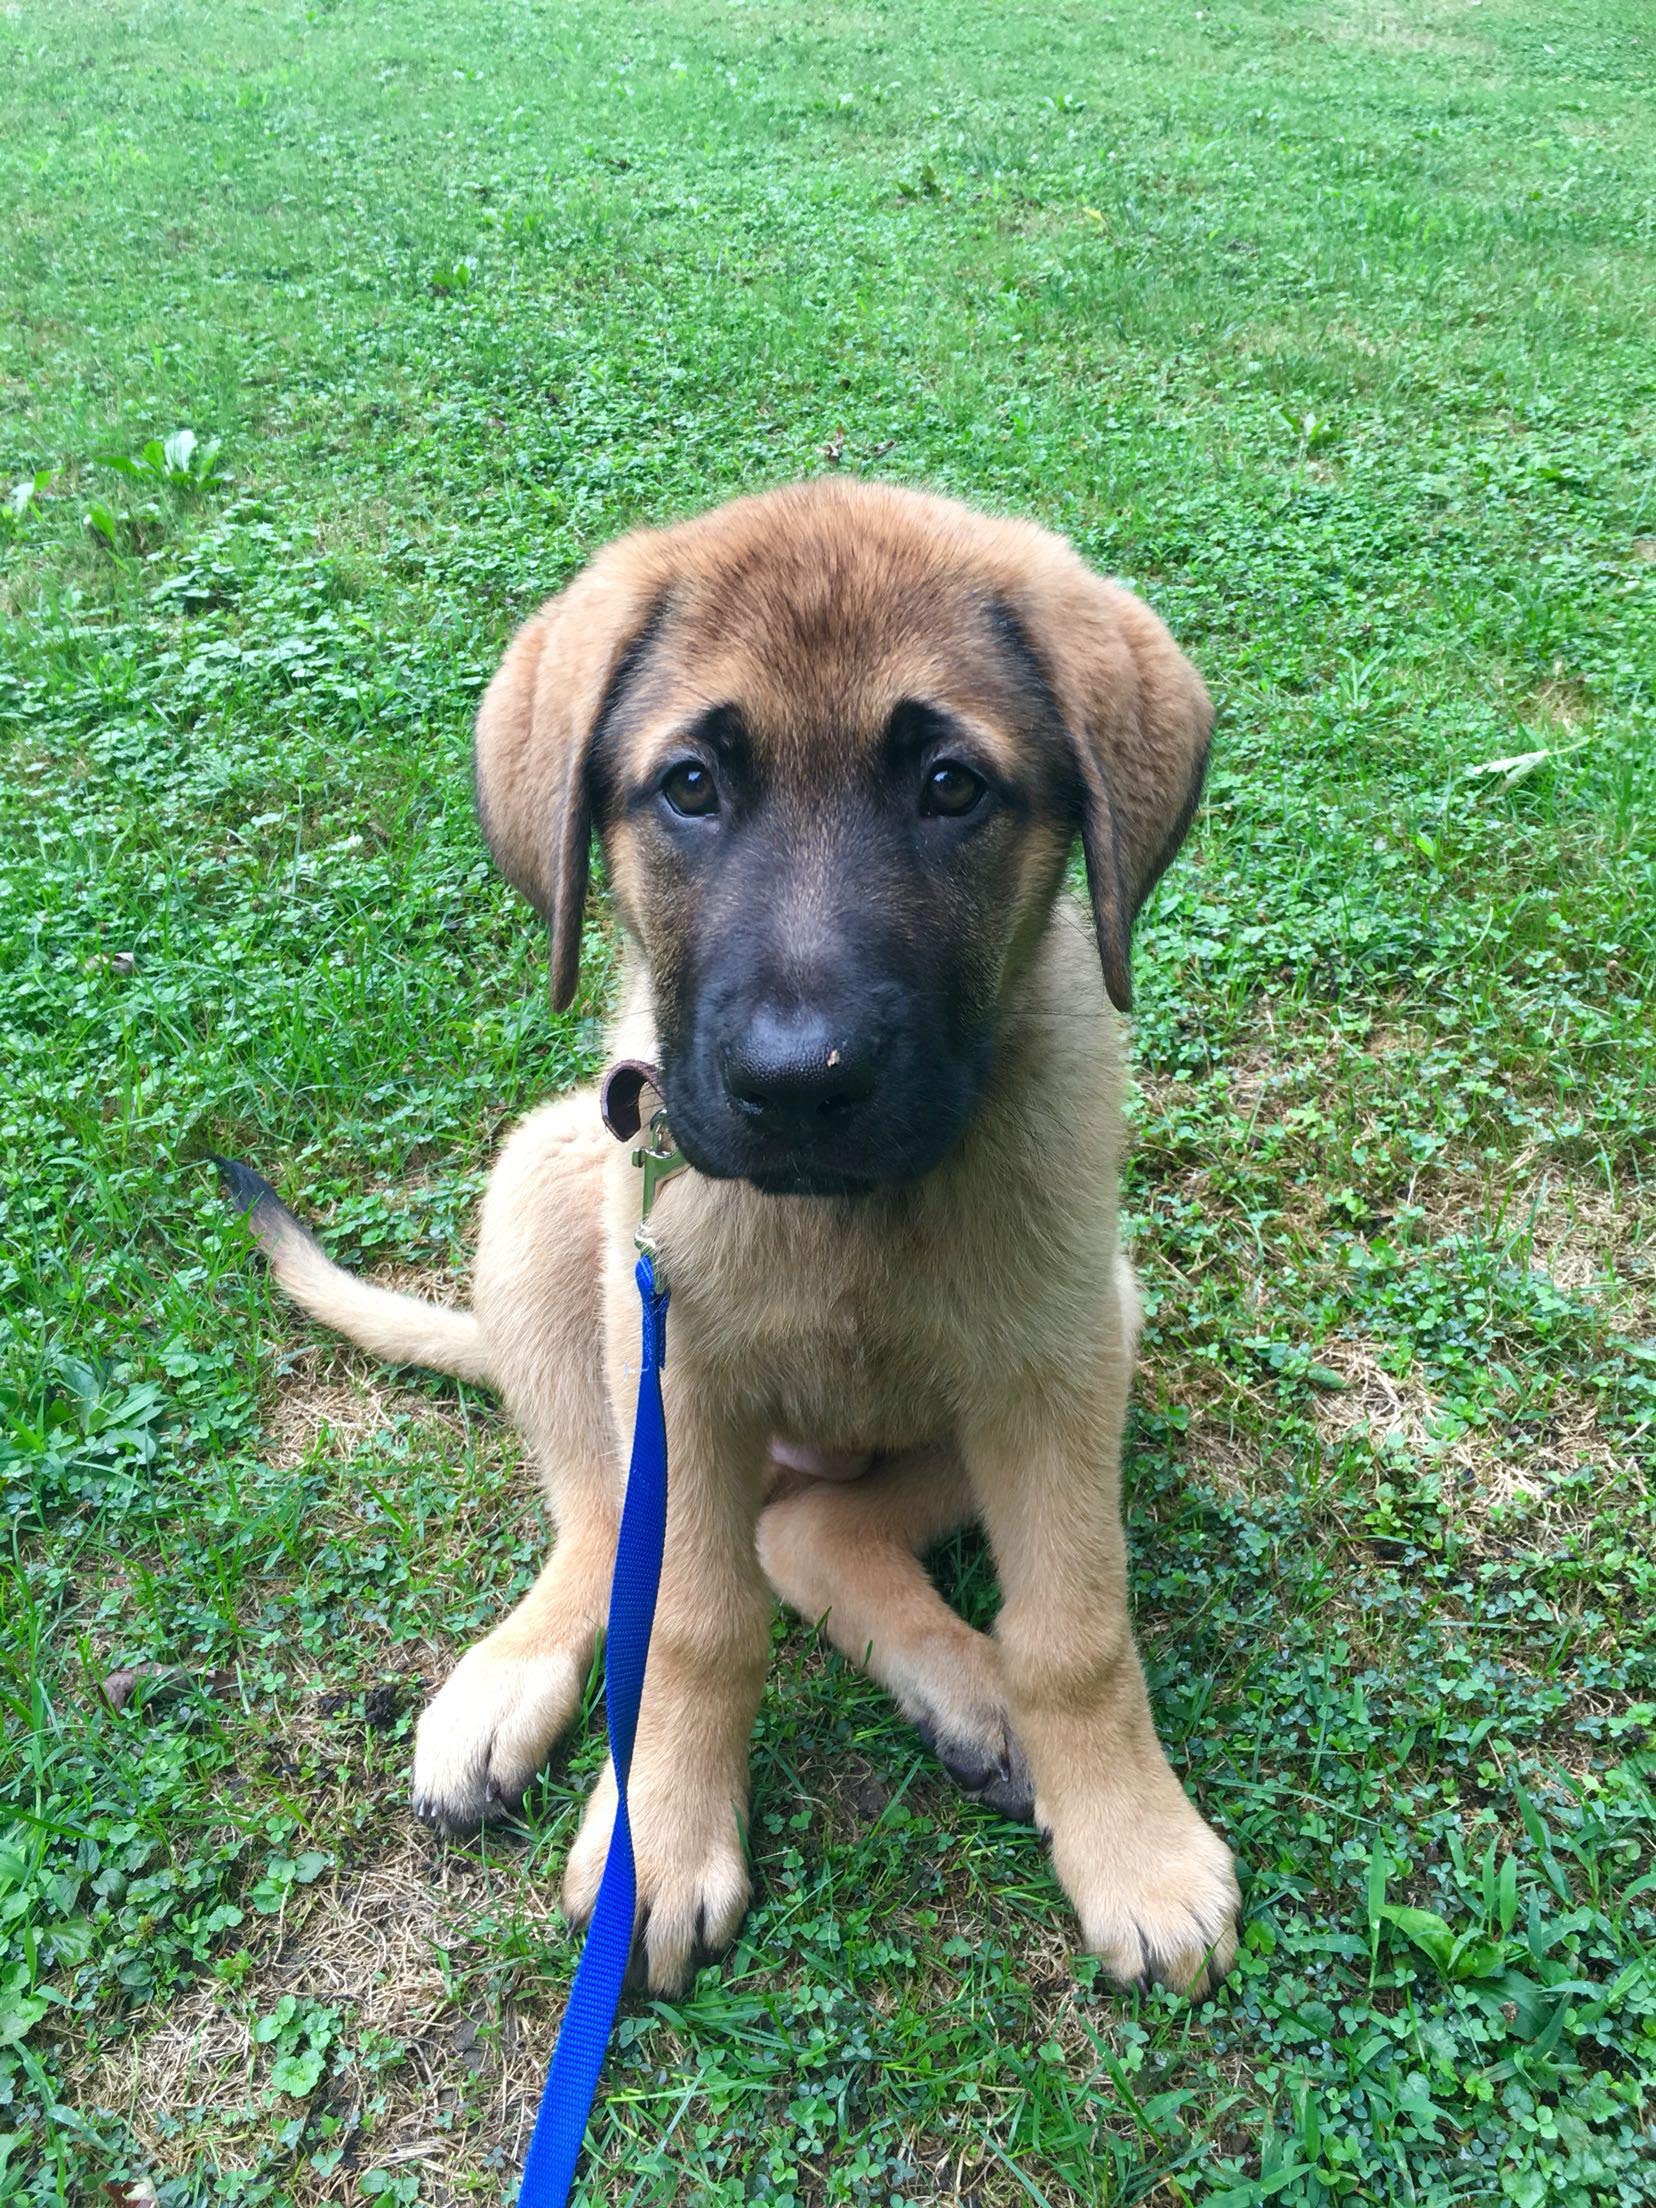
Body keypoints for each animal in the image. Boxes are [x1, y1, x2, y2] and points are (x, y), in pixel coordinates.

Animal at [230, 479, 1245, 2004]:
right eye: (691, 788)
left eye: (953, 788)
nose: (799, 1083)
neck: (842, 1221)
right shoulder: (682, 1375)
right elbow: (691, 1622)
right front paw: (657, 1836)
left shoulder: (1054, 1370)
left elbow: (1077, 1629)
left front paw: (1136, 1844)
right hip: (549, 1194)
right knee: (609, 1524)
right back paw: (513, 1683)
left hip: (1093, 1320)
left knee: (805, 1530)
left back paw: (975, 1696)